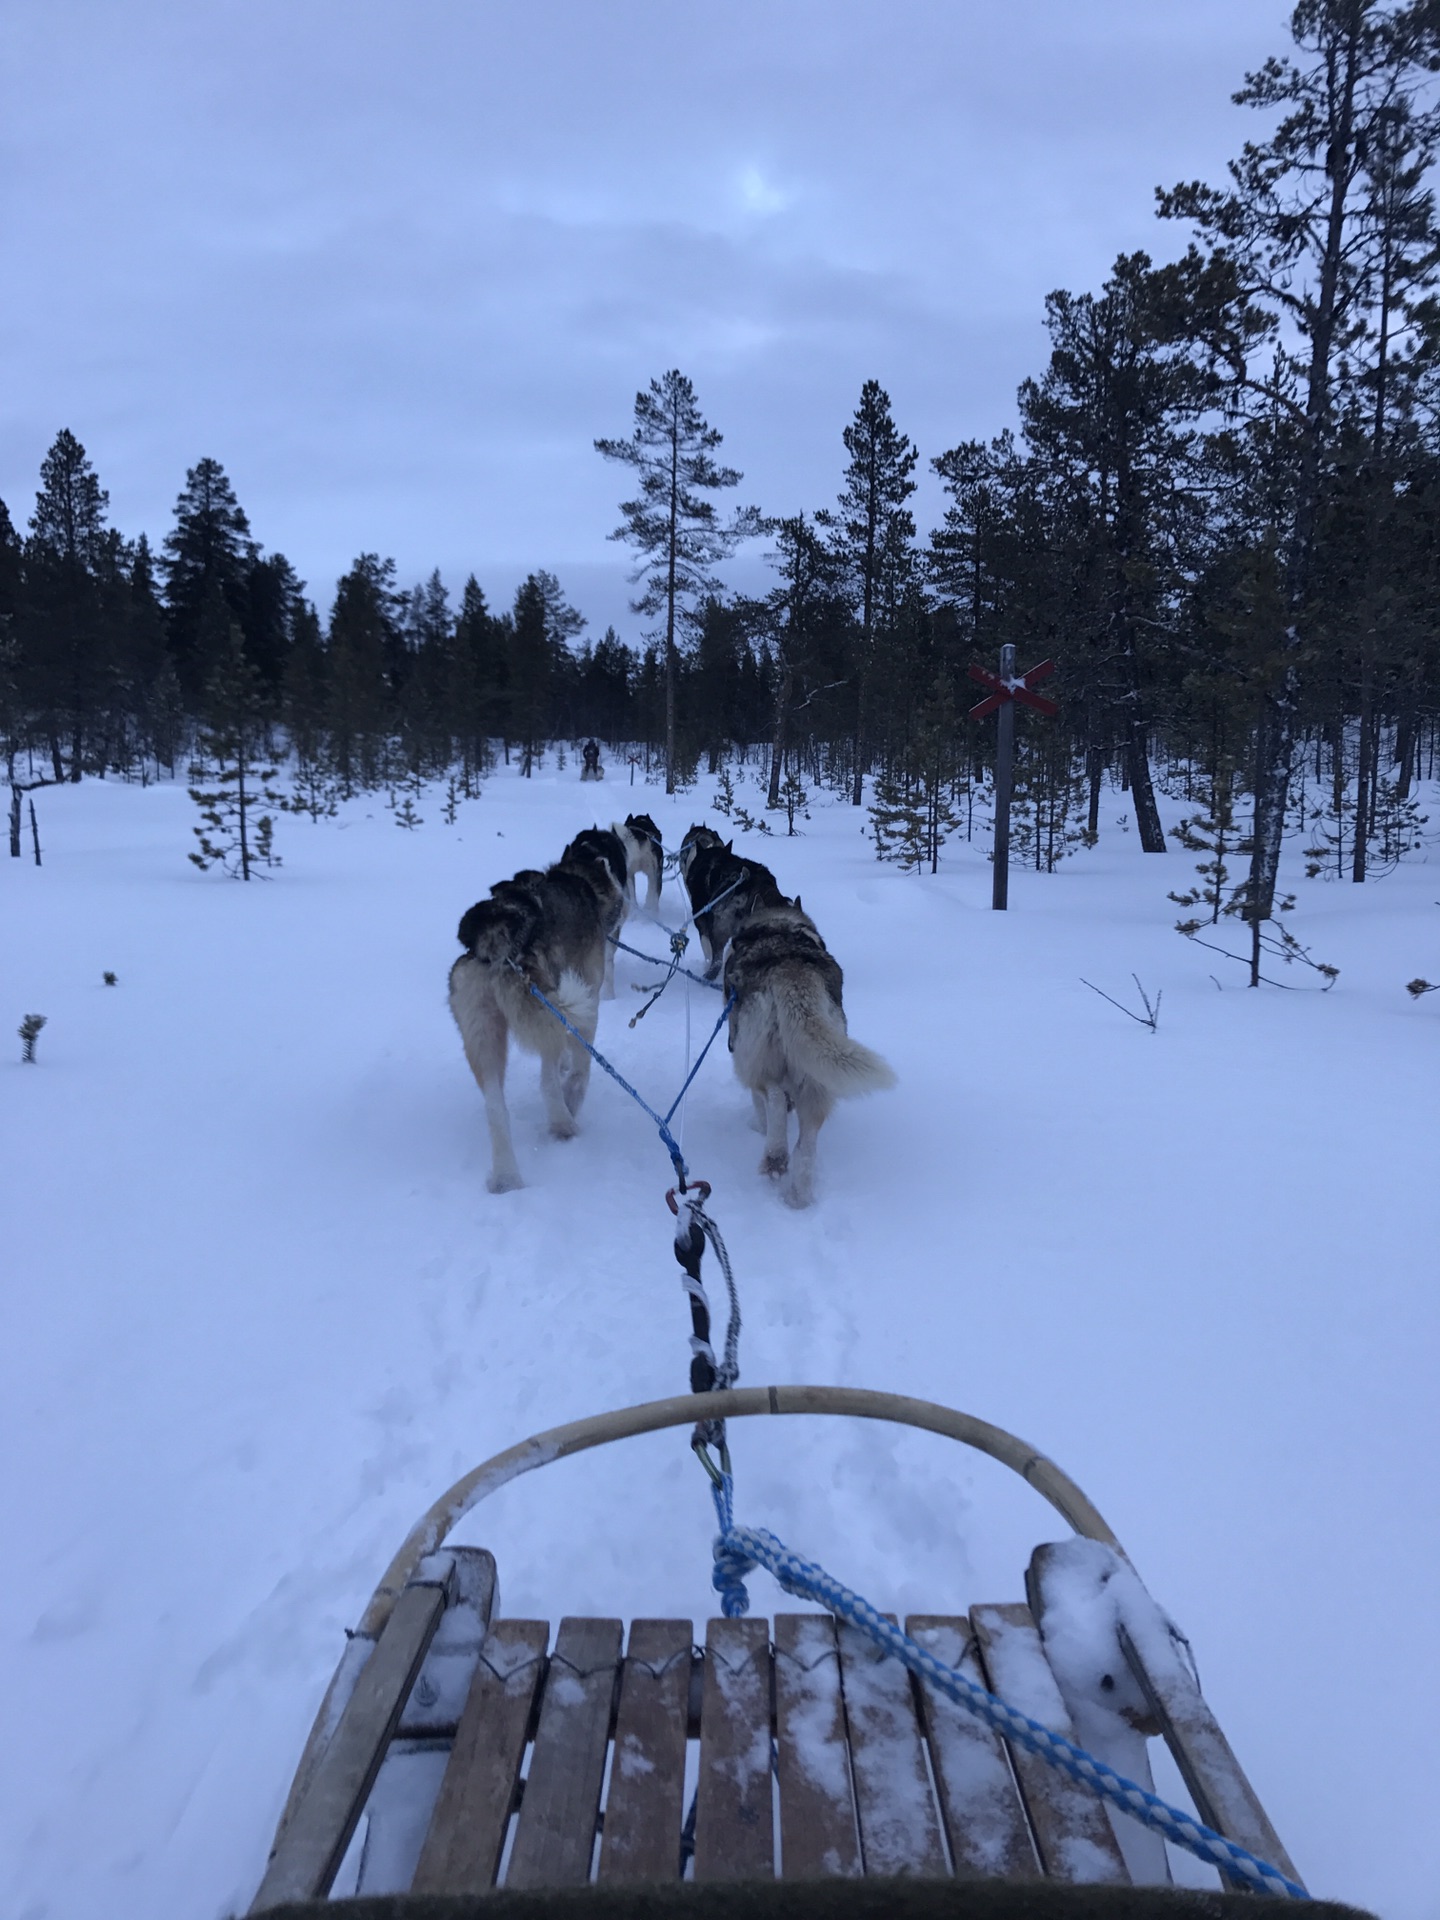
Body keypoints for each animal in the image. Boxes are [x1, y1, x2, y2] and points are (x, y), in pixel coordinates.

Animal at [449, 837, 622, 1182]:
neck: (578, 876)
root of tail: (499, 938)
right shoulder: (586, 999)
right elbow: (578, 1068)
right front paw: (571, 1091)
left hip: (483, 1034)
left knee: (496, 1108)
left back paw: (506, 1178)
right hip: (560, 1005)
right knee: (548, 1081)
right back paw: (564, 1123)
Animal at [725, 894, 898, 1198]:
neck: (778, 923)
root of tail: (790, 968)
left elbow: (761, 1106)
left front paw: (757, 1126)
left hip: (754, 1060)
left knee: (773, 1096)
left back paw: (775, 1156)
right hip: (819, 1070)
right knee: (806, 1144)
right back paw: (799, 1191)